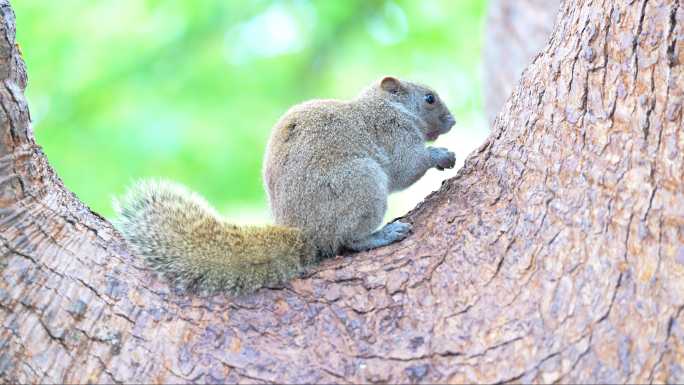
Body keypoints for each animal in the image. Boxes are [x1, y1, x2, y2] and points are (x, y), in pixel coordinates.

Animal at [113, 76, 454, 296]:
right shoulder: (392, 132)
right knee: (348, 240)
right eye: (429, 98)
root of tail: (306, 234)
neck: (386, 106)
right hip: (362, 183)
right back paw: (382, 234)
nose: (453, 121)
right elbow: (405, 167)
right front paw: (440, 155)